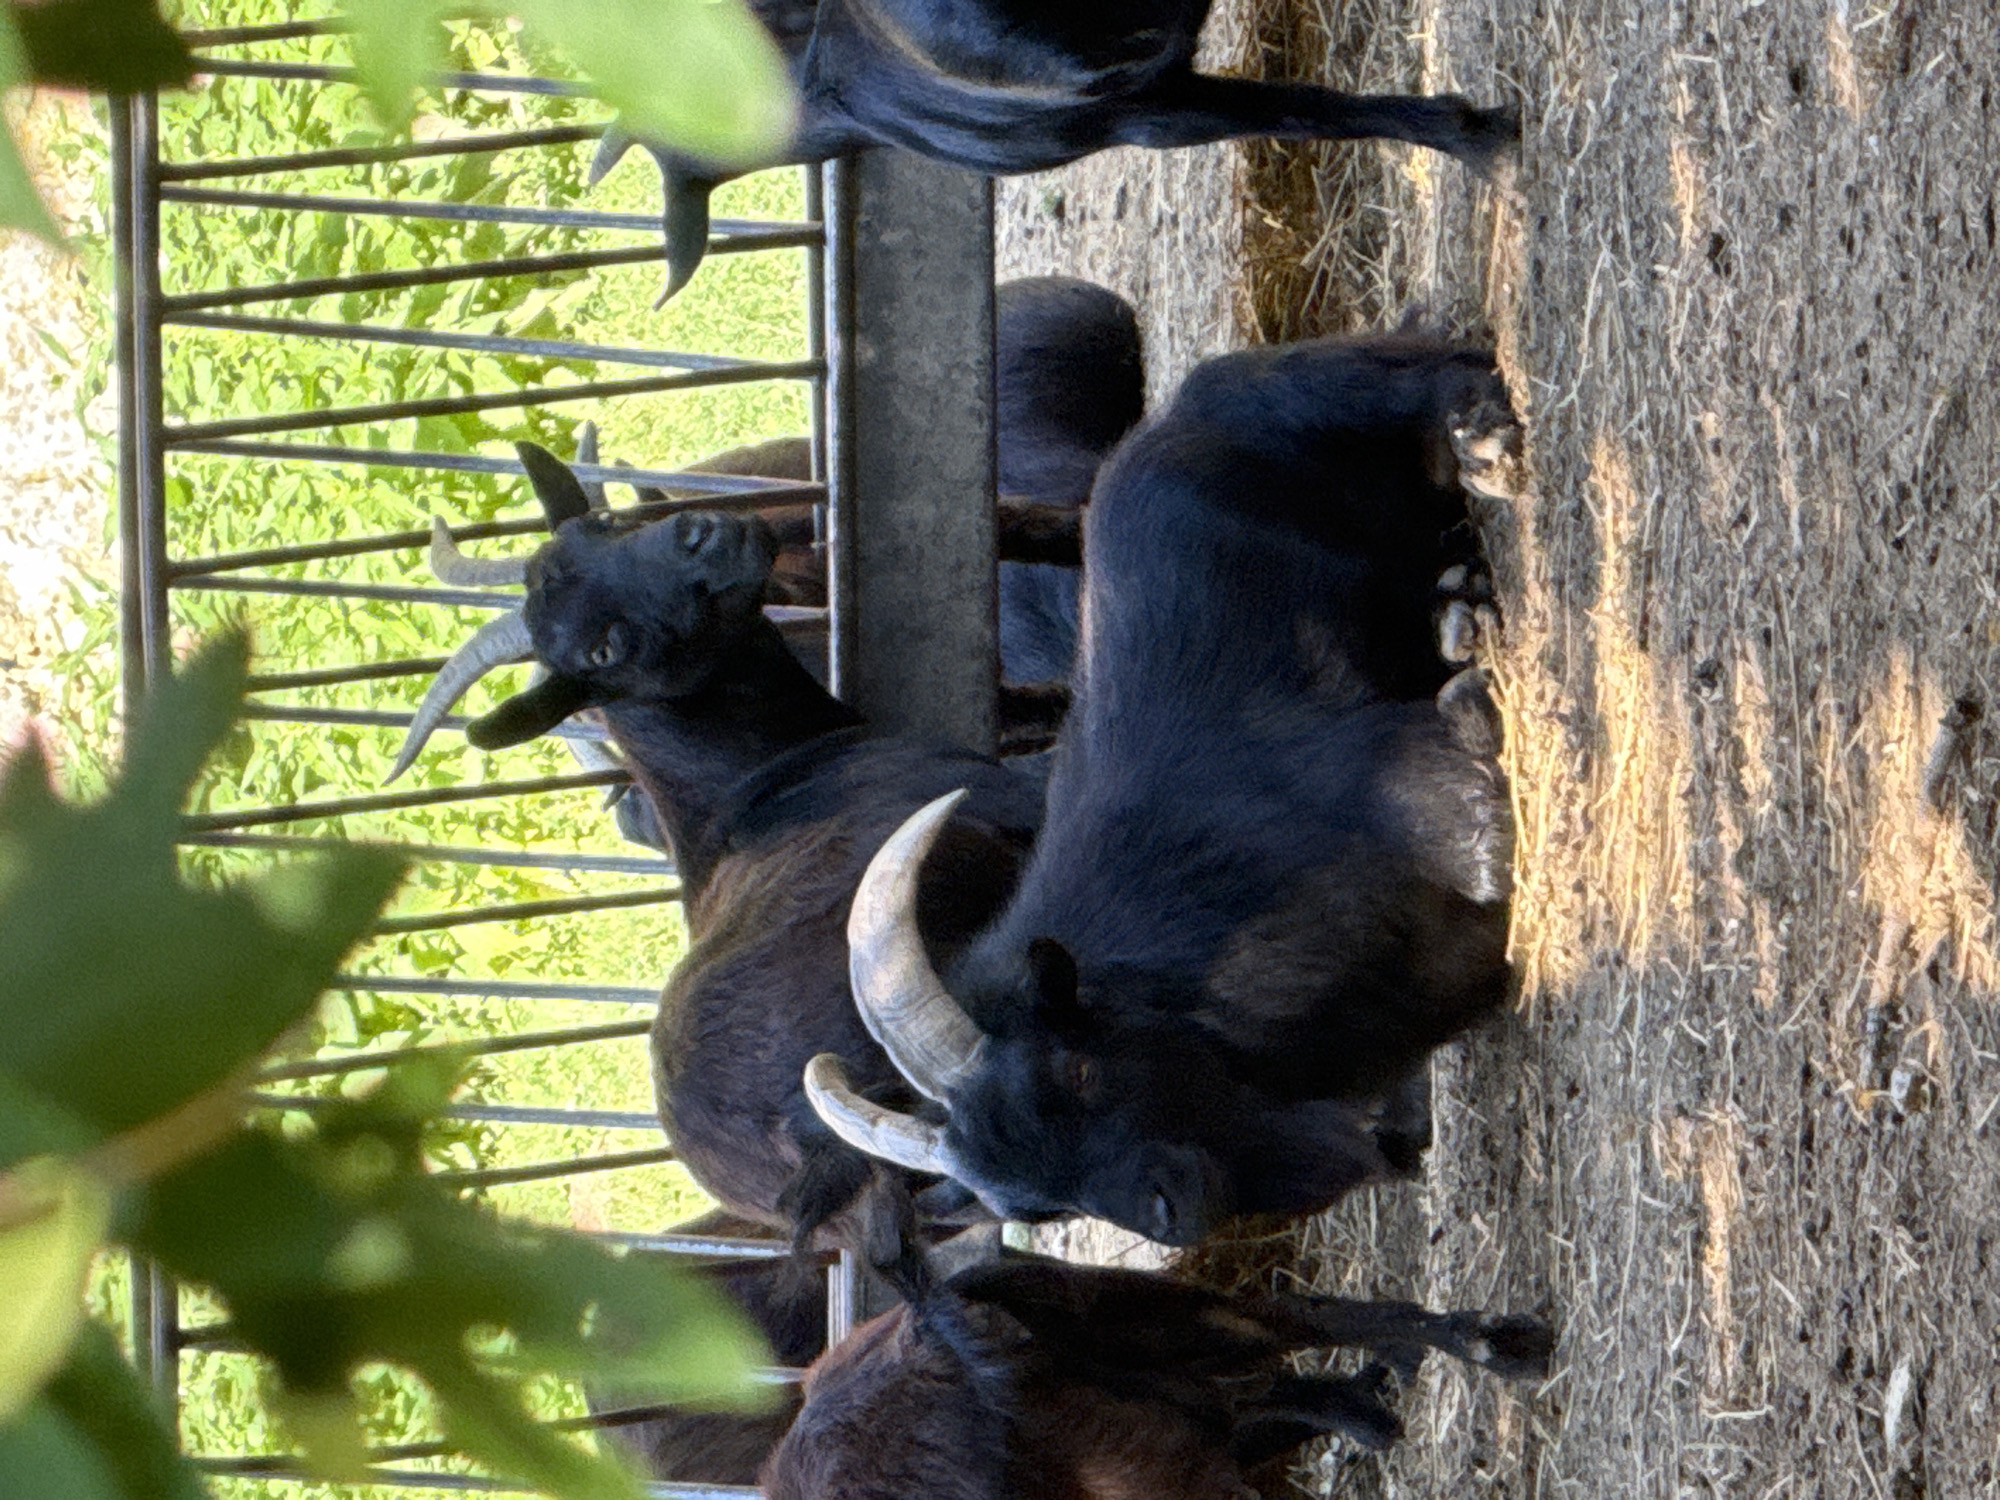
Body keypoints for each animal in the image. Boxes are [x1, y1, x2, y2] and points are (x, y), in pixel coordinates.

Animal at [808, 334, 1521, 1245]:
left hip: (1355, 397)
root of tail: (1186, 404)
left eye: (1075, 1072)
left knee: (1431, 383)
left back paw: (1482, 447)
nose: (1170, 1210)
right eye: (1043, 1206)